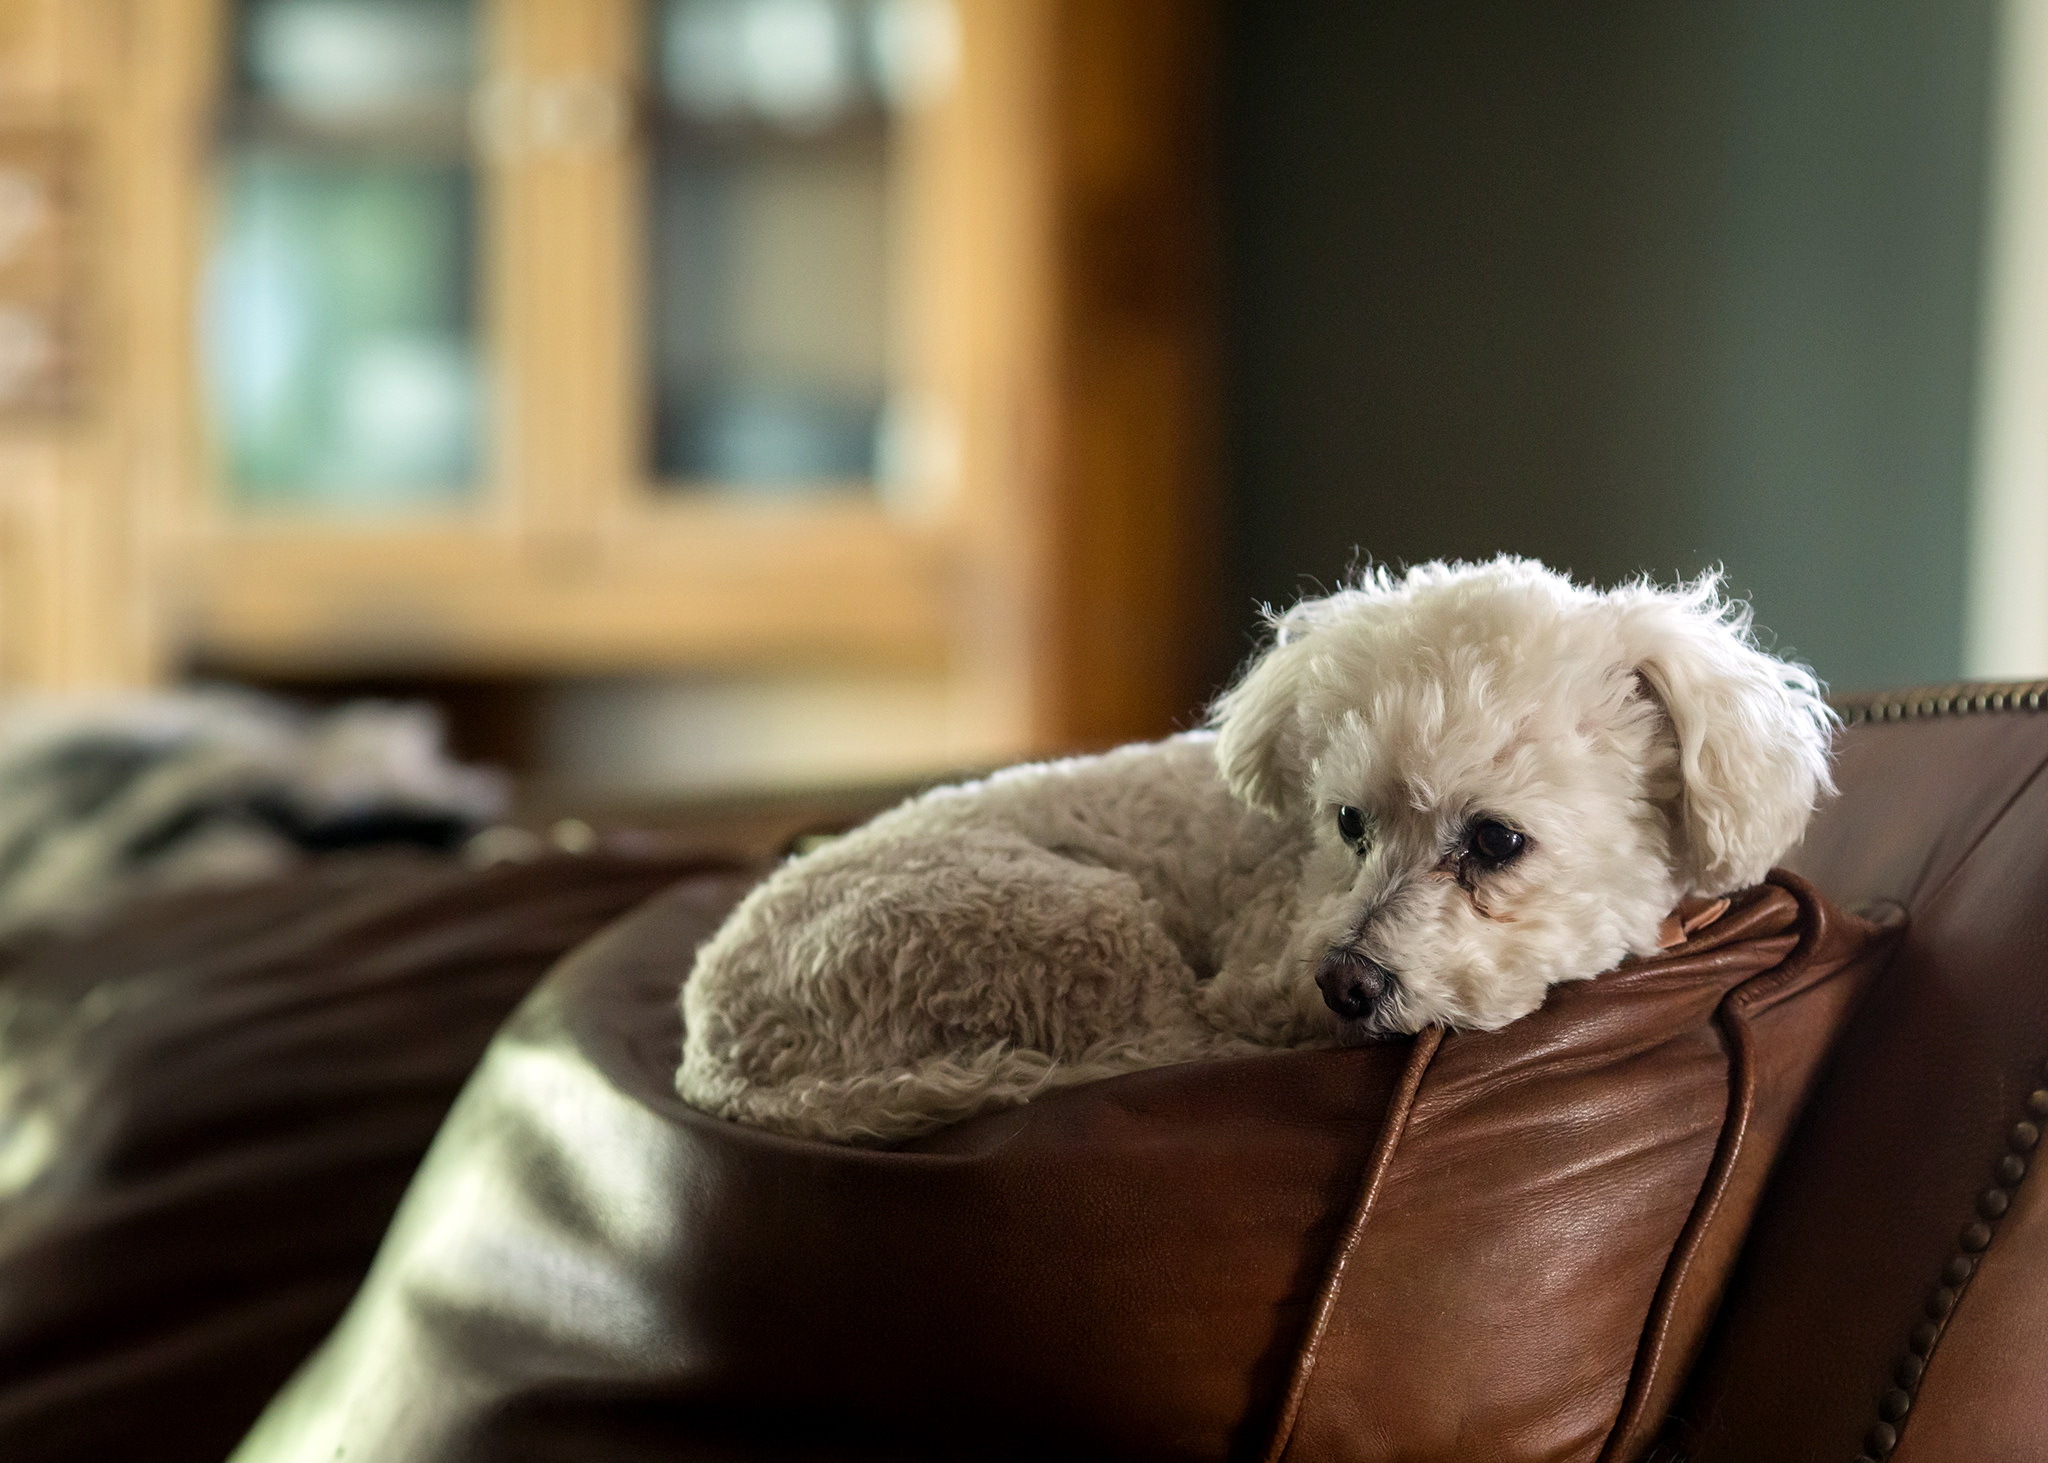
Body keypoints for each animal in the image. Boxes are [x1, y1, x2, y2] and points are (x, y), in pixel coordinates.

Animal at [679, 557, 1835, 1139]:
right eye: (1349, 821)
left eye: (1495, 839)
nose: (1344, 983)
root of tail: (717, 1051)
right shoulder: (1249, 973)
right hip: (1068, 924)